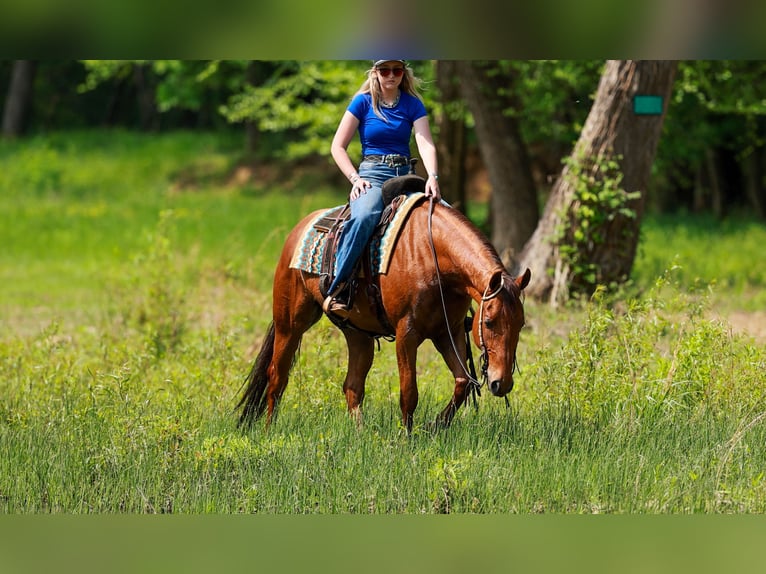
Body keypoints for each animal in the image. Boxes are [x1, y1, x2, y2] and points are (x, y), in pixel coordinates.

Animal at [236, 193, 531, 433]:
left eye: (520, 325)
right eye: (489, 322)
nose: (501, 383)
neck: (434, 256)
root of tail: (300, 229)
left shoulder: (449, 332)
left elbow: (462, 382)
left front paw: (433, 427)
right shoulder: (407, 334)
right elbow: (409, 392)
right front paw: (406, 439)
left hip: (358, 335)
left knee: (352, 386)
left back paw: (361, 435)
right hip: (290, 324)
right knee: (277, 377)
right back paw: (269, 433)